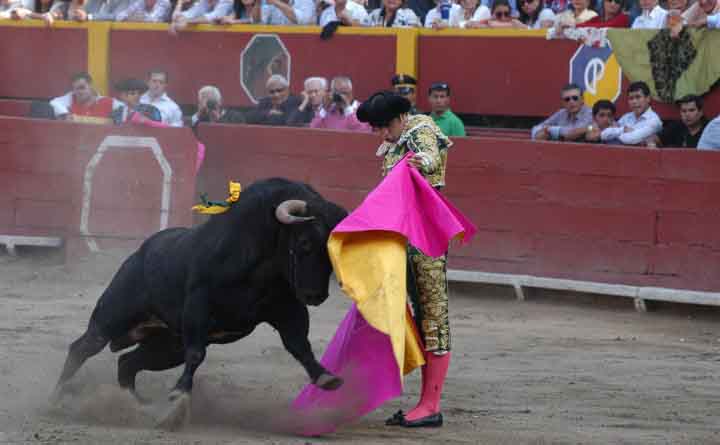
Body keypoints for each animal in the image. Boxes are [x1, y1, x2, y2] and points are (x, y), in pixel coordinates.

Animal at [52, 179, 348, 428]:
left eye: (332, 251)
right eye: (304, 242)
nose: (315, 295)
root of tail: (138, 254)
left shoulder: (288, 308)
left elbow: (300, 345)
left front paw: (326, 377)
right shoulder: (199, 306)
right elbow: (197, 354)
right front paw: (178, 395)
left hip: (167, 346)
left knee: (127, 363)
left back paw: (138, 408)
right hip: (113, 317)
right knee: (83, 347)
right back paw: (56, 398)